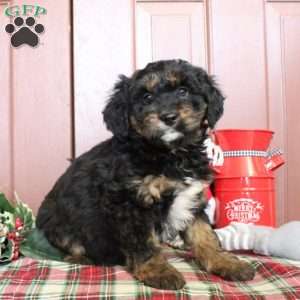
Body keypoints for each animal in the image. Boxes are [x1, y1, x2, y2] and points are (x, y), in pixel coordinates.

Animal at [35, 59, 255, 290]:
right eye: (147, 97)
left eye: (183, 91)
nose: (168, 117)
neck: (170, 154)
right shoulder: (132, 202)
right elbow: (143, 241)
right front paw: (158, 271)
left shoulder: (193, 199)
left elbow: (205, 234)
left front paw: (226, 262)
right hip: (59, 223)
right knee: (73, 246)